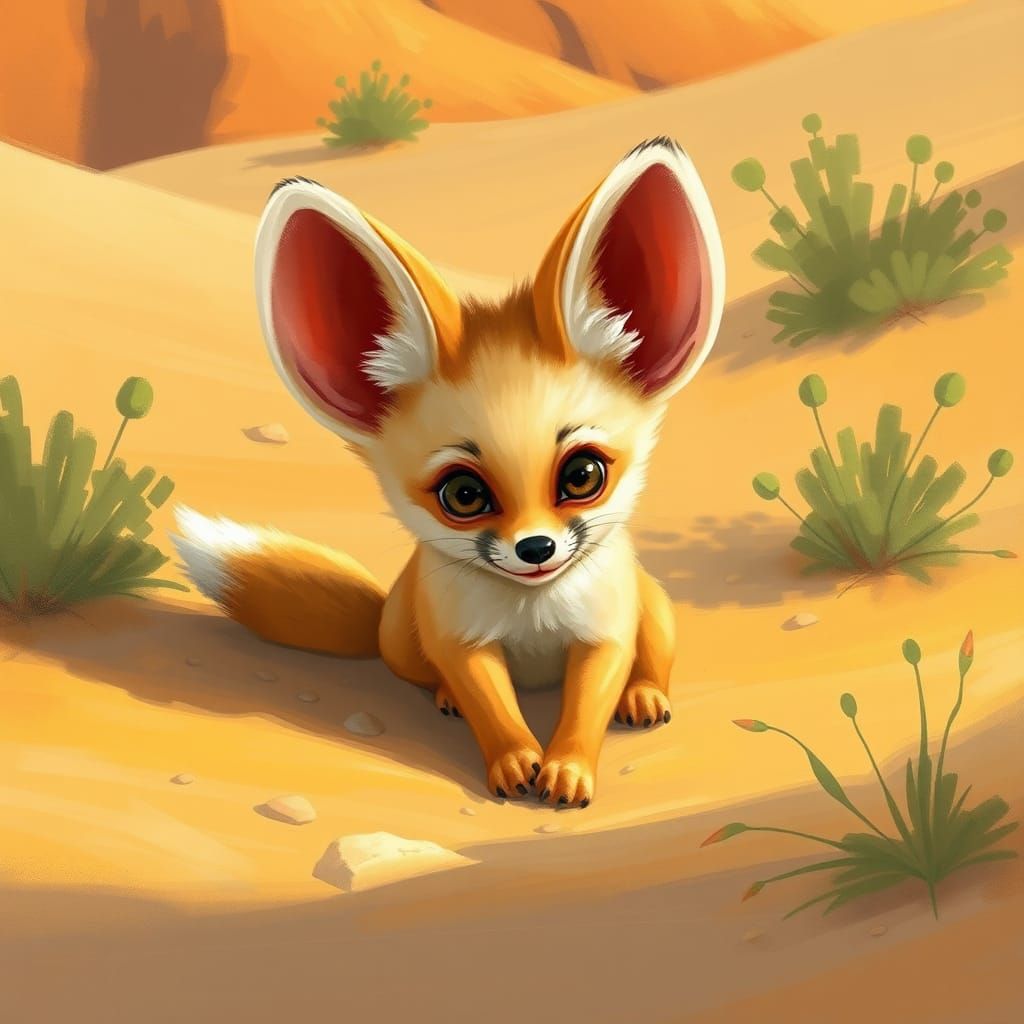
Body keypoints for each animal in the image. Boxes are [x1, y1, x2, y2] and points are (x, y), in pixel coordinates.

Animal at [171, 136, 725, 808]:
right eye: (463, 494)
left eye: (582, 476)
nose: (536, 548)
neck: (530, 613)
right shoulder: (462, 644)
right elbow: (493, 710)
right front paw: (514, 763)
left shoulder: (604, 635)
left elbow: (586, 709)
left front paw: (568, 769)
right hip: (404, 640)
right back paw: (444, 698)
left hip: (656, 612)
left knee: (651, 661)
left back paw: (643, 696)